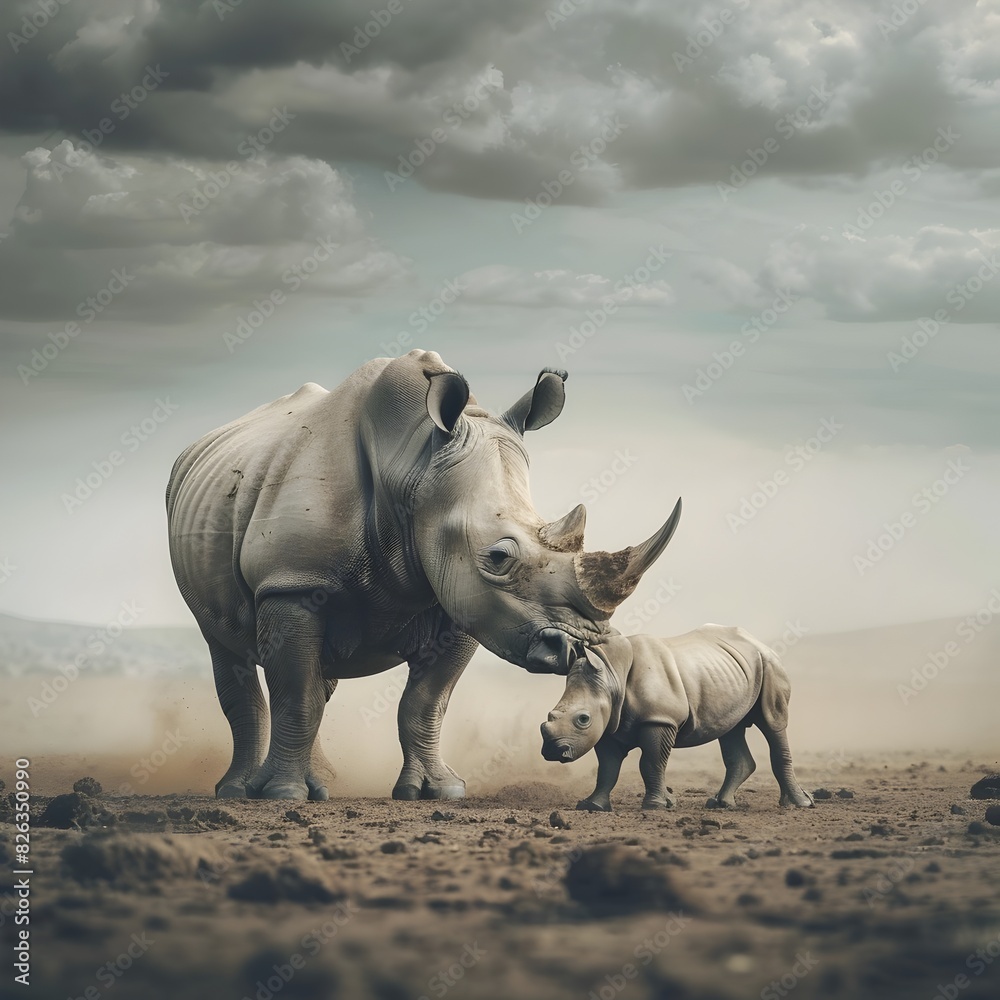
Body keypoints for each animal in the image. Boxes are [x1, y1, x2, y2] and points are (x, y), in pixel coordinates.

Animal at [166, 350, 681, 801]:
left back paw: (319, 783)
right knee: (228, 650)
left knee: (318, 677)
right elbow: (295, 693)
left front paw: (438, 790)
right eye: (498, 557)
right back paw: (241, 790)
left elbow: (426, 701)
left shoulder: (462, 603)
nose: (579, 645)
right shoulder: (292, 582)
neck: (412, 465)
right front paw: (280, 795)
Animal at [540, 625, 814, 811]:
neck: (610, 674)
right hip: (733, 672)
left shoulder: (660, 718)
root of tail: (758, 642)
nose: (553, 751)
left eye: (583, 719)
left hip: (770, 665)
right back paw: (720, 804)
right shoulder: (609, 724)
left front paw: (655, 806)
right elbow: (608, 768)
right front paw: (591, 806)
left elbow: (650, 762)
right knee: (731, 729)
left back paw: (799, 804)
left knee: (773, 722)